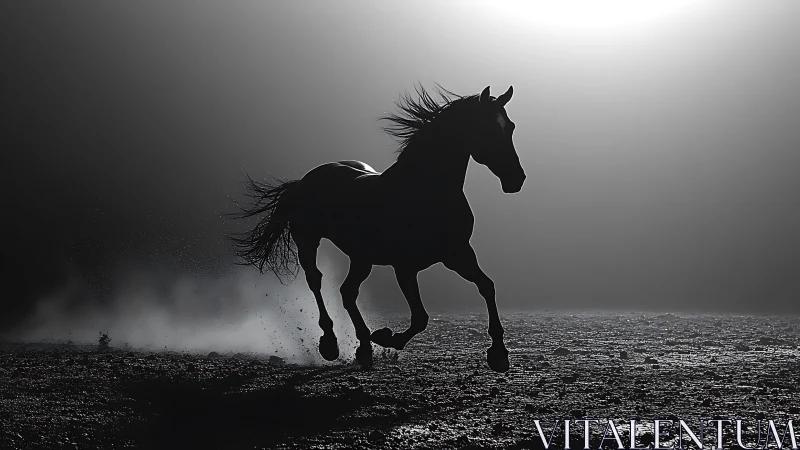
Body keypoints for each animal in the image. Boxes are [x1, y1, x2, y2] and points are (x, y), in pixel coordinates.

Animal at [229, 85, 525, 372]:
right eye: (487, 128)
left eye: (510, 127)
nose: (517, 179)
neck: (425, 191)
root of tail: (304, 180)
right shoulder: (405, 266)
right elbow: (420, 318)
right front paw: (385, 337)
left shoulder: (458, 254)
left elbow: (487, 286)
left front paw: (499, 354)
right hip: (308, 240)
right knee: (316, 281)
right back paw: (331, 344)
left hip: (362, 257)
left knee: (348, 292)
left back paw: (363, 348)